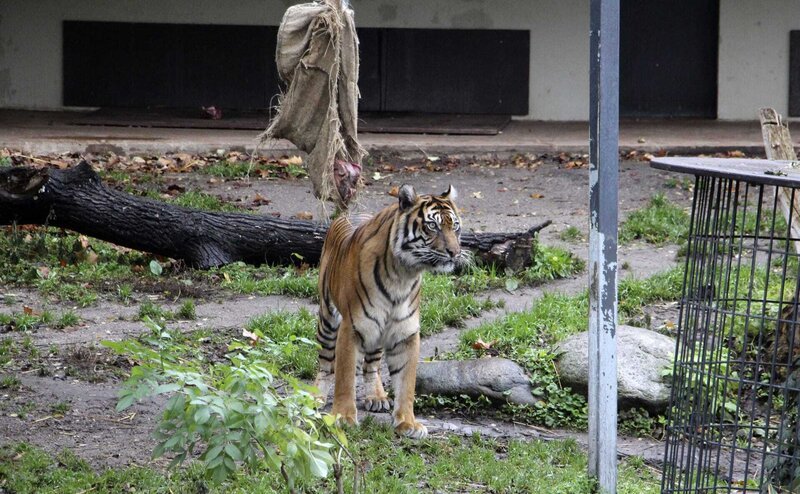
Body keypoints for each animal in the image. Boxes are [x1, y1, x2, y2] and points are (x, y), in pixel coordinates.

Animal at [312, 183, 462, 438]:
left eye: (455, 226)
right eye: (433, 226)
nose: (455, 252)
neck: (403, 274)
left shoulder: (406, 333)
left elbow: (406, 382)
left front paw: (408, 423)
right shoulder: (351, 328)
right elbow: (344, 376)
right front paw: (343, 418)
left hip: (376, 333)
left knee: (371, 365)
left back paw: (377, 396)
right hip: (328, 319)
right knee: (326, 362)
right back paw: (315, 396)